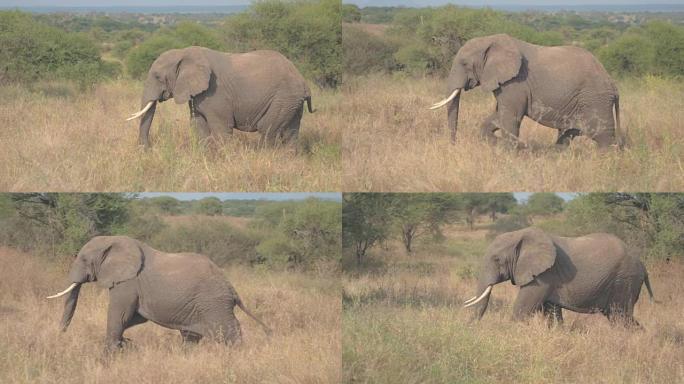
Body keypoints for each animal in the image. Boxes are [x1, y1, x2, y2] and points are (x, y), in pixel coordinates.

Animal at [45, 236, 268, 352]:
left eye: (83, 259)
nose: (60, 336)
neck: (113, 239)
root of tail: (231, 288)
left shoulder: (128, 283)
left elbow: (119, 315)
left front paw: (111, 353)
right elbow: (133, 318)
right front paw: (125, 345)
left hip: (213, 304)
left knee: (229, 332)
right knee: (191, 337)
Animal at [125, 45, 312, 147]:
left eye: (157, 77)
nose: (147, 149)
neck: (184, 53)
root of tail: (303, 80)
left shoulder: (215, 94)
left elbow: (221, 128)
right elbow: (198, 124)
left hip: (283, 97)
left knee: (267, 129)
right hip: (292, 102)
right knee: (291, 133)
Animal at [430, 33, 624, 148]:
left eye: (464, 64)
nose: (453, 145)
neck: (491, 41)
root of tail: (613, 85)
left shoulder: (515, 82)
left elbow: (511, 118)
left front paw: (511, 153)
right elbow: (498, 116)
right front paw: (502, 144)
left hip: (595, 100)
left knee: (603, 137)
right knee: (569, 134)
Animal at [464, 228, 652, 328]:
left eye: (497, 260)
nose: (469, 328)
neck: (520, 235)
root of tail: (643, 265)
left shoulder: (544, 276)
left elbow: (521, 310)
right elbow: (552, 314)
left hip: (625, 280)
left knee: (620, 317)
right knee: (620, 317)